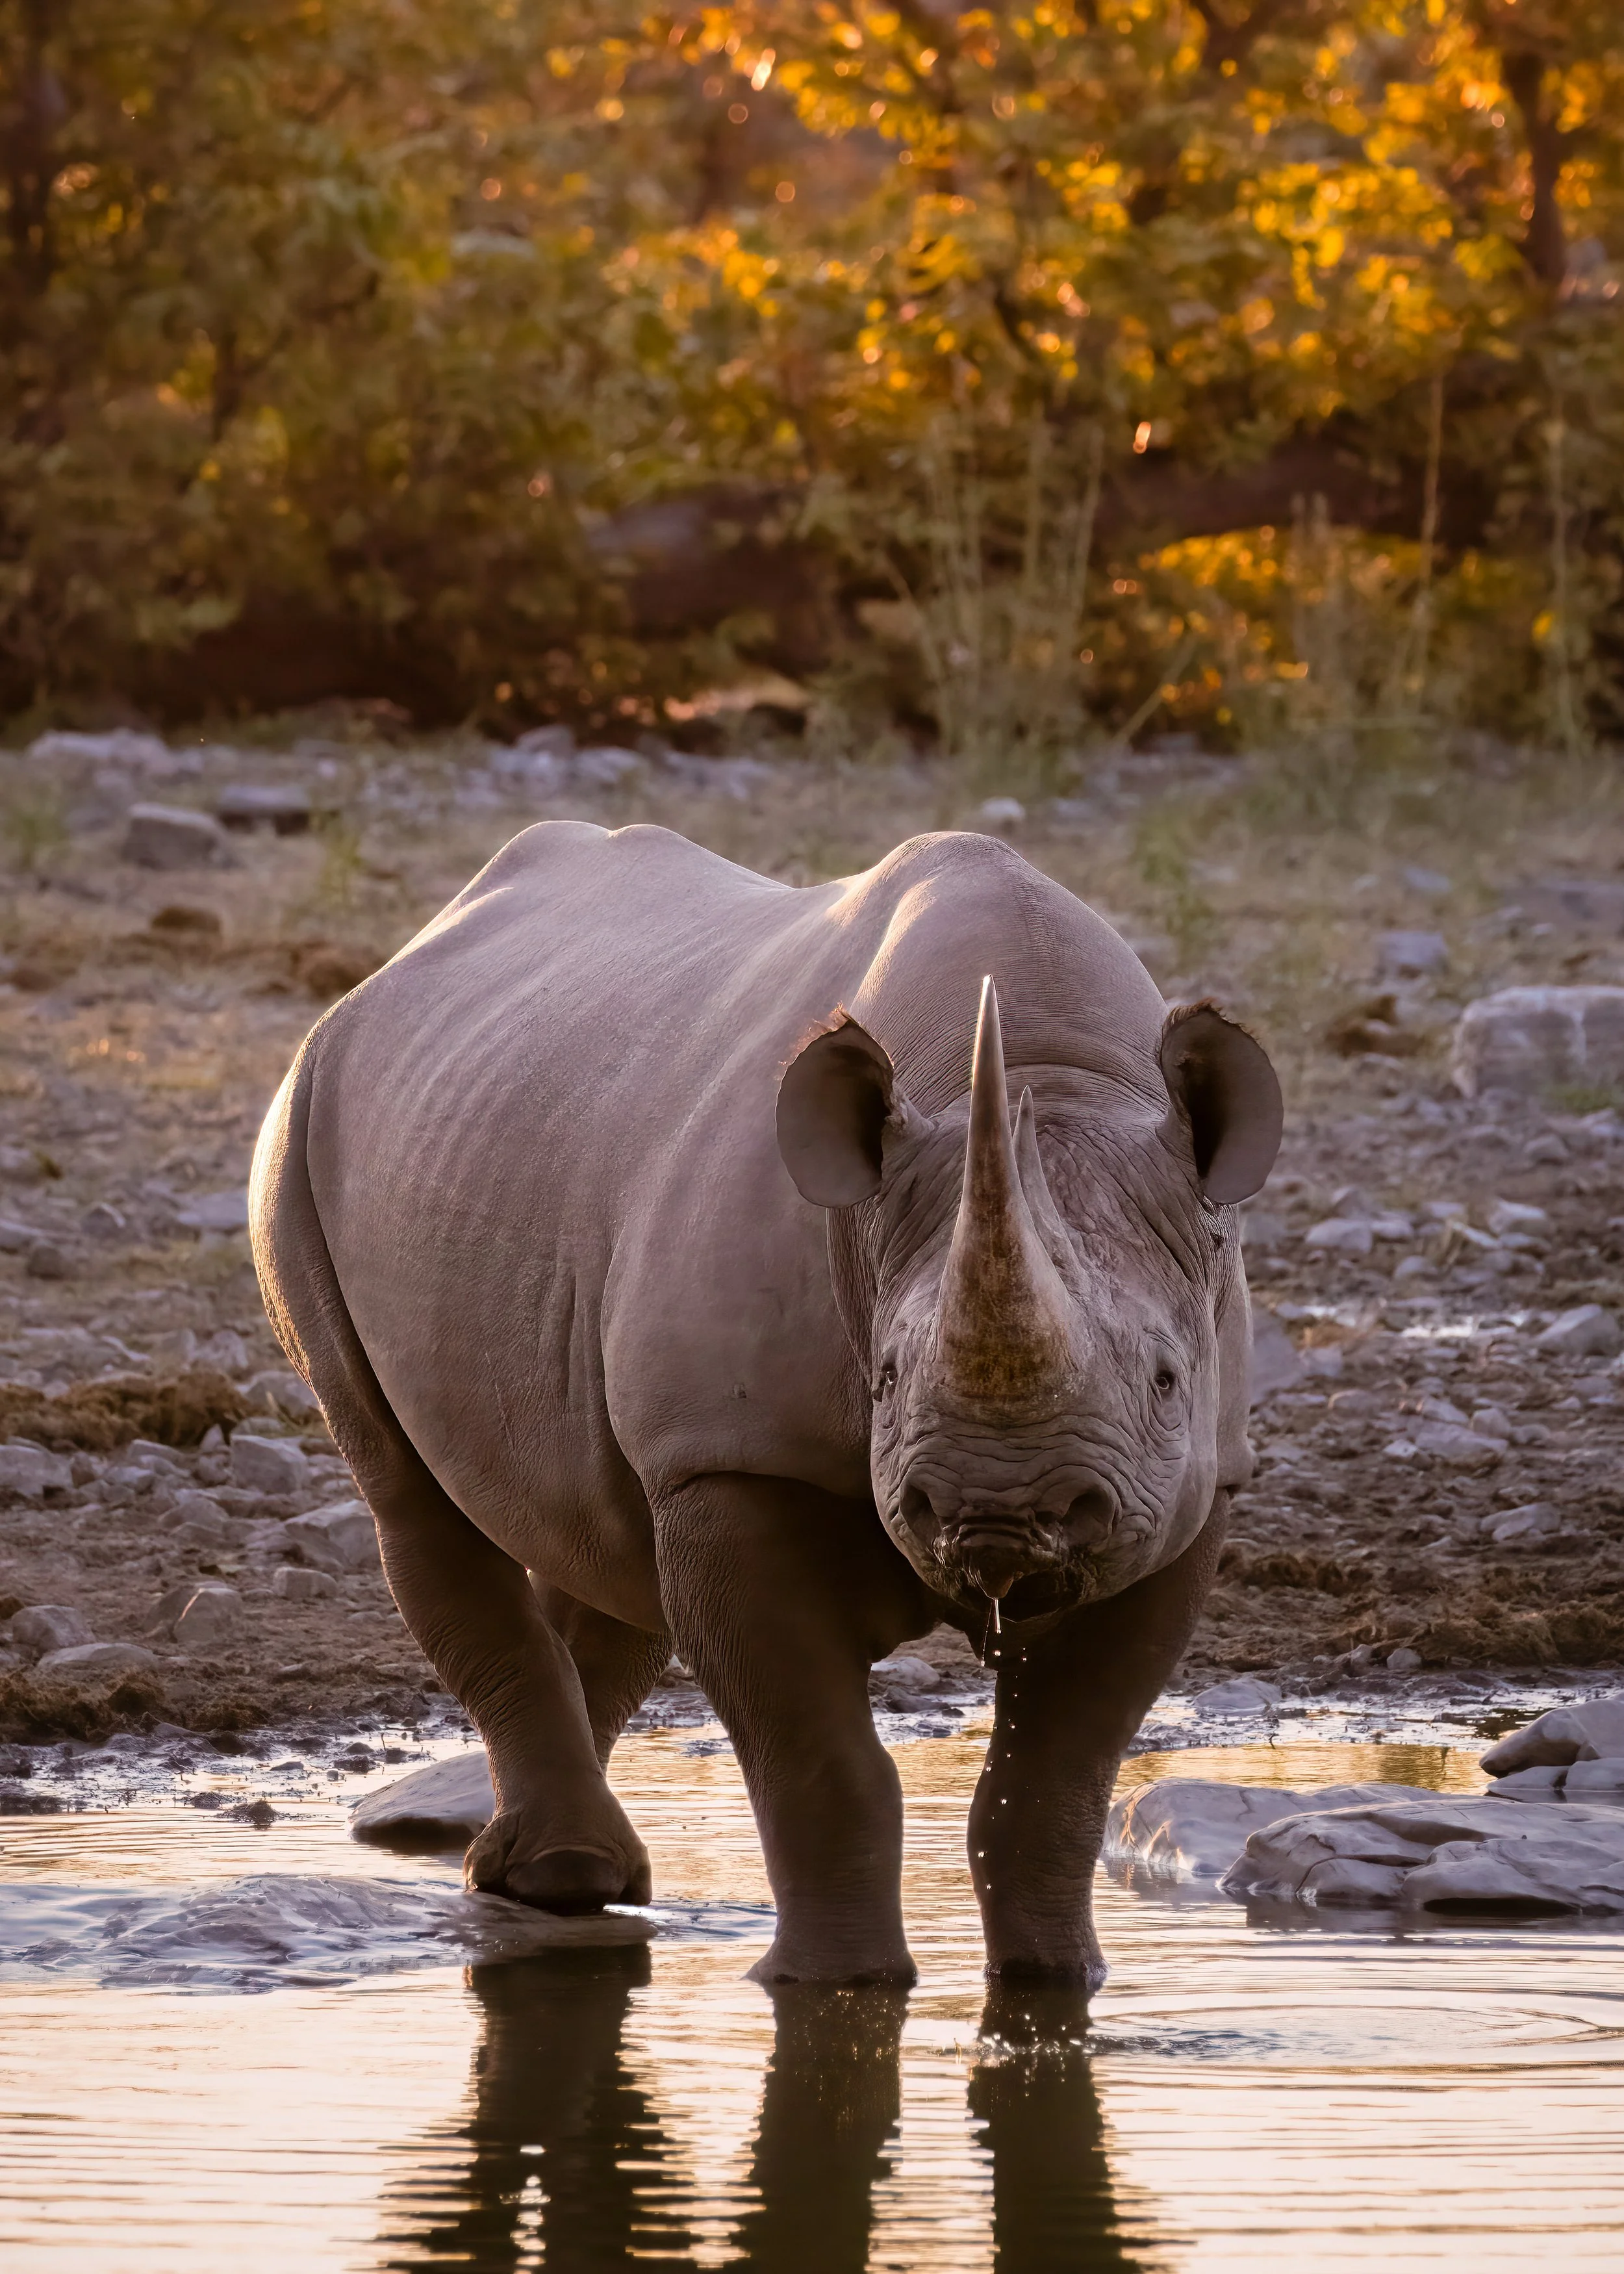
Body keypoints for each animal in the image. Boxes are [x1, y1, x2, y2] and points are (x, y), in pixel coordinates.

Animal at [251, 822, 1280, 1988]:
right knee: (407, 1492)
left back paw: (550, 1875)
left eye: (1166, 1378)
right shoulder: (730, 1456)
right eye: (884, 1377)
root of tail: (396, 961)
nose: (1000, 1517)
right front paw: (836, 1987)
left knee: (603, 1534)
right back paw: (560, 1877)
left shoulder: (1187, 1492)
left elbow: (1055, 1782)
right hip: (298, 1131)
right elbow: (822, 1766)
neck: (1045, 1071)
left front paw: (1055, 1987)